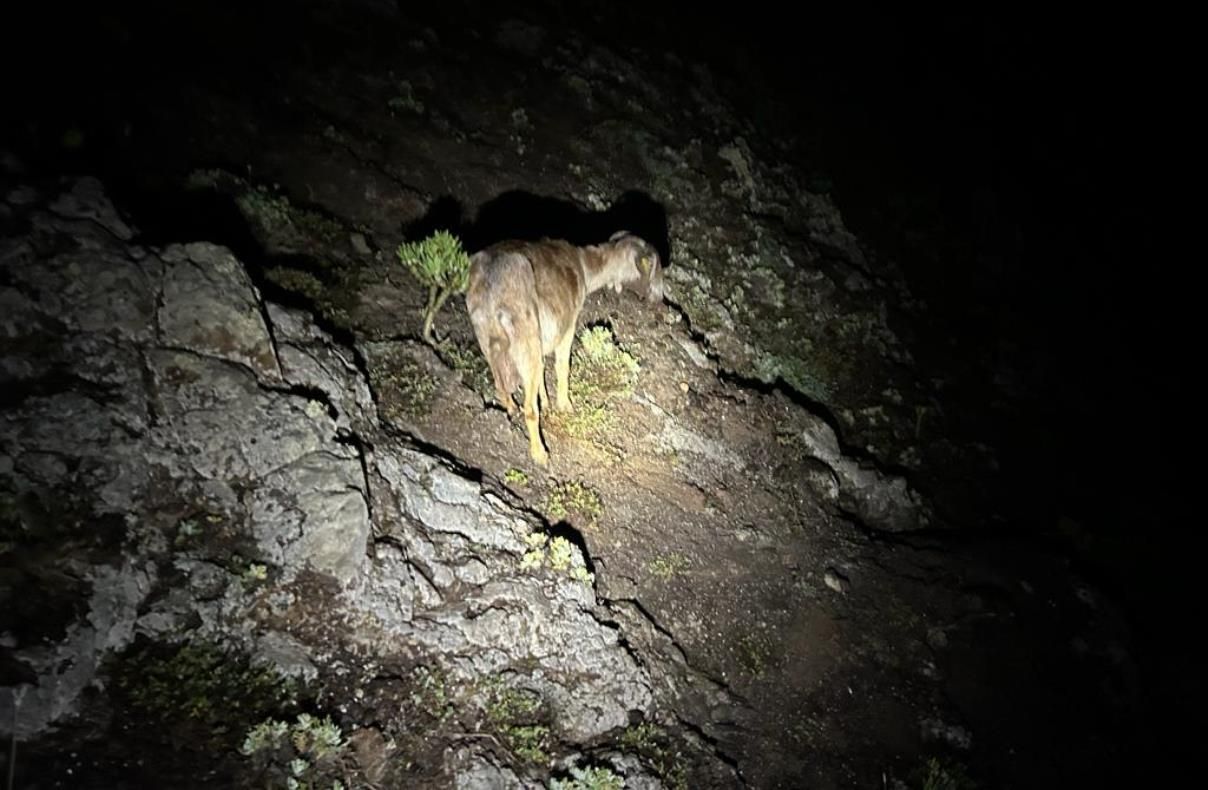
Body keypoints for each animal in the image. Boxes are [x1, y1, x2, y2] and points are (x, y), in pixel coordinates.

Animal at [463, 229, 671, 466]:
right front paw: (565, 406)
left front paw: (547, 402)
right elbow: (562, 367)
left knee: (502, 387)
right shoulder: (568, 325)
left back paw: (511, 412)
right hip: (525, 338)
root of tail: (491, 290)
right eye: (657, 268)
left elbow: (542, 376)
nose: (660, 299)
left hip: (490, 342)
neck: (585, 266)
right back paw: (540, 454)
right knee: (529, 409)